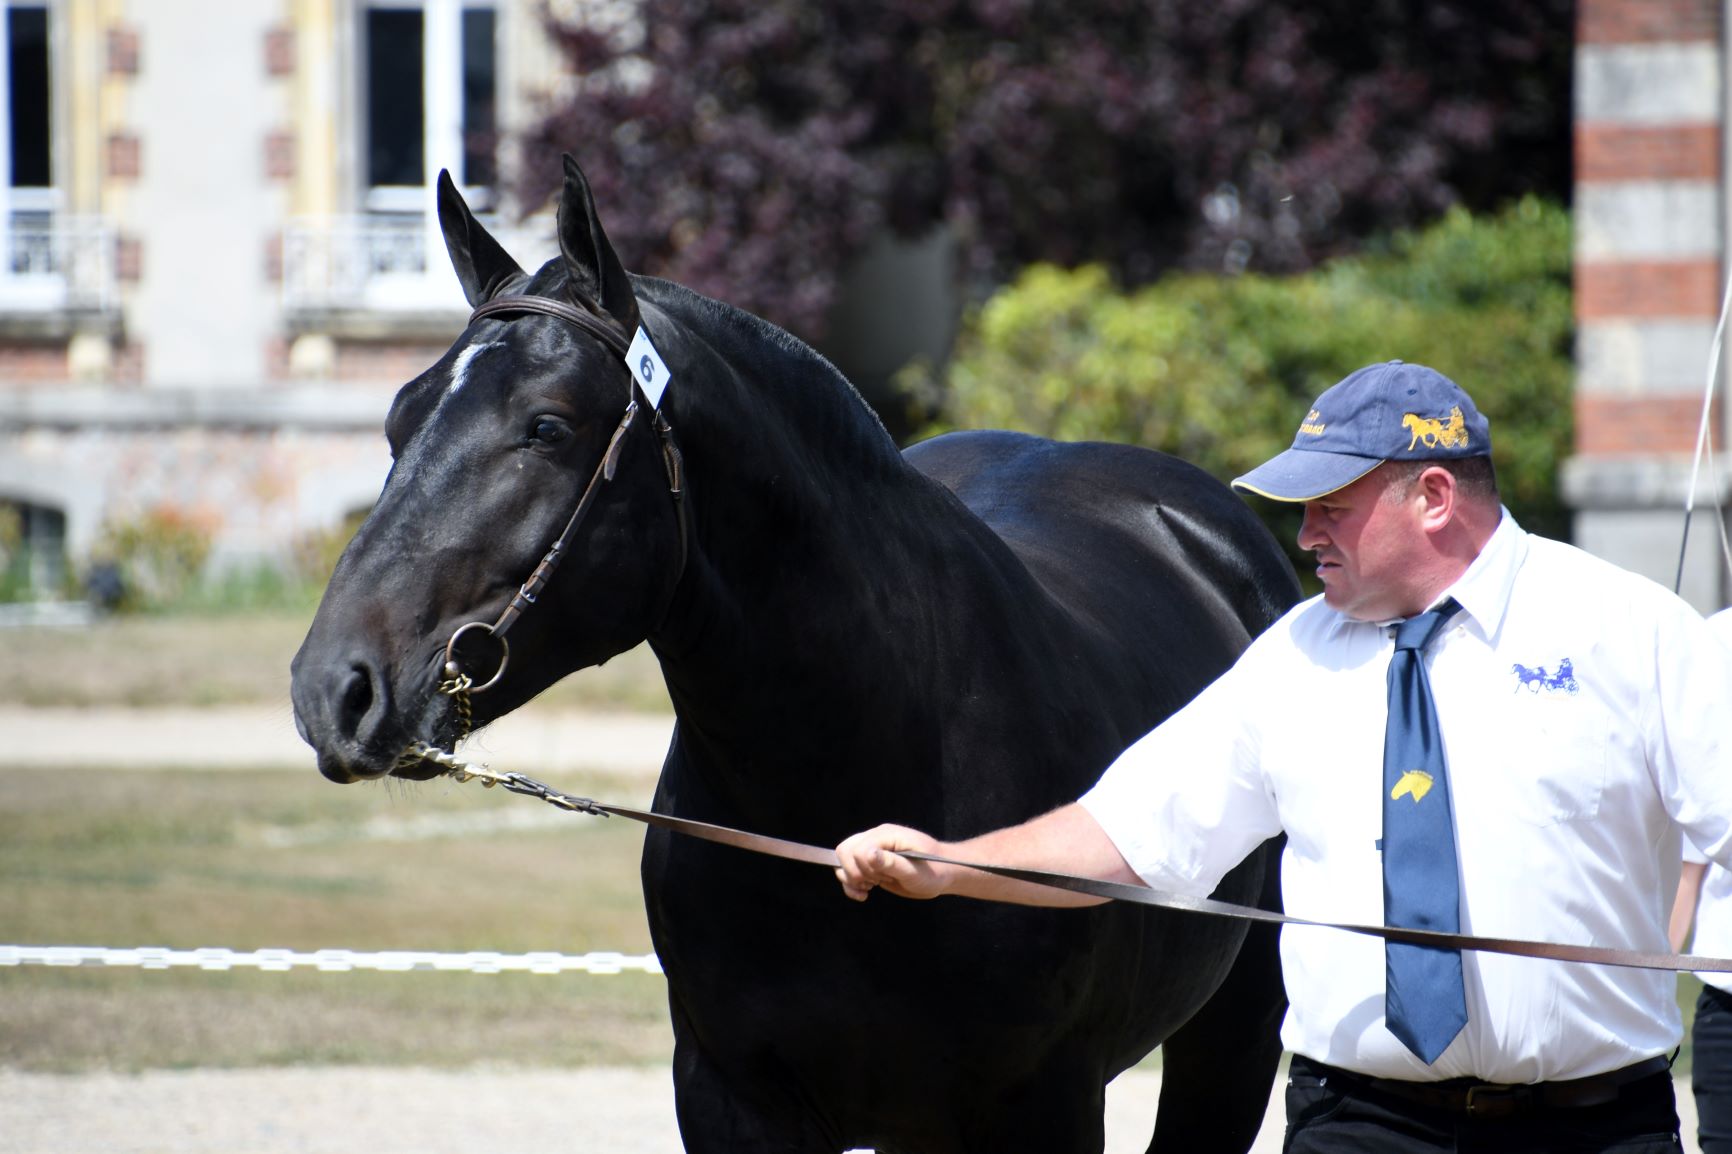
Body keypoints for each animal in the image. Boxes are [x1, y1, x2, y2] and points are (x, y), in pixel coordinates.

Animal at [290, 155, 1302, 1150]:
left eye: (547, 426)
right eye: (398, 417)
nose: (334, 690)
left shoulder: (1047, 1109)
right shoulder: (730, 1100)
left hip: (1234, 1040)